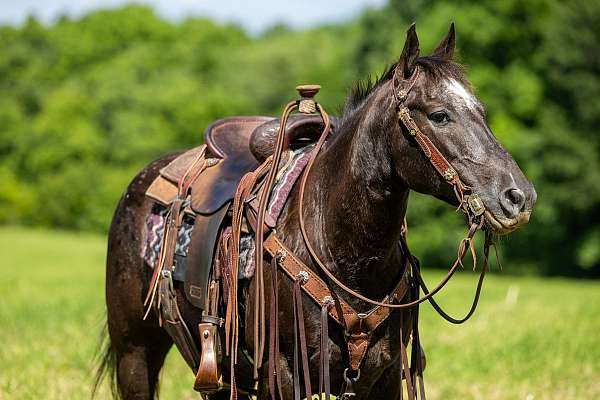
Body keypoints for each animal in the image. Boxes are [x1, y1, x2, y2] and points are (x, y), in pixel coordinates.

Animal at [96, 25, 536, 400]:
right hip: (136, 351)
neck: (343, 249)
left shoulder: (384, 376)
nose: (519, 197)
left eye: (481, 110)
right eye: (440, 114)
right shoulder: (284, 374)